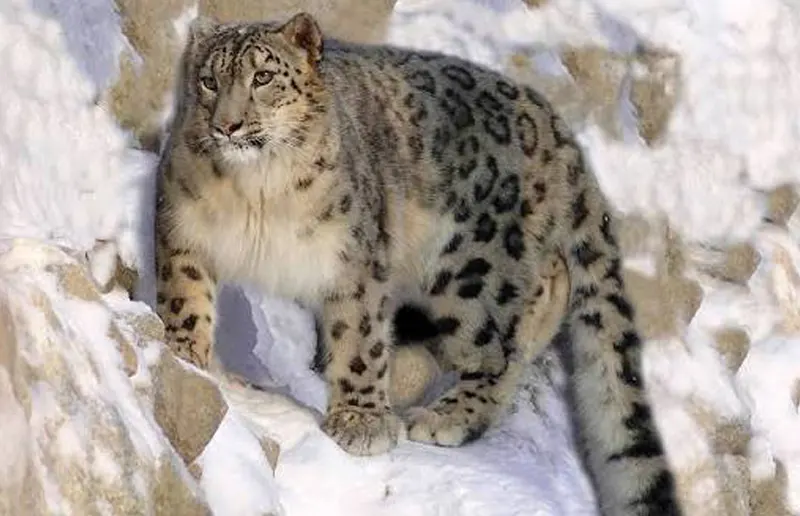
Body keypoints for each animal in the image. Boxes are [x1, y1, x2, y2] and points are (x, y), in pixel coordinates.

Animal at [154, 12, 681, 516]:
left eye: (263, 76)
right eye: (209, 80)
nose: (227, 125)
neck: (256, 192)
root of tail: (558, 127)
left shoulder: (357, 258)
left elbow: (360, 338)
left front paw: (361, 422)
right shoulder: (183, 227)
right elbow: (184, 296)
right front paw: (186, 354)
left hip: (475, 272)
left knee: (501, 345)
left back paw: (445, 417)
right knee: (548, 288)